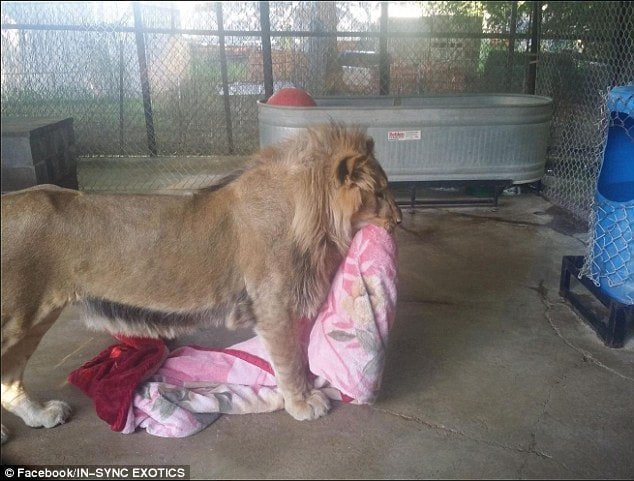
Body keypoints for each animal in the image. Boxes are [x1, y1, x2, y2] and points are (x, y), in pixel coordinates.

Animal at [1, 122, 400, 440]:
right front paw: (302, 403)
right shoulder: (273, 306)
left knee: (10, 379)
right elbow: (290, 361)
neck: (310, 219)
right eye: (379, 193)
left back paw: (39, 415)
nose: (398, 221)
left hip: (32, 320)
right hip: (17, 317)